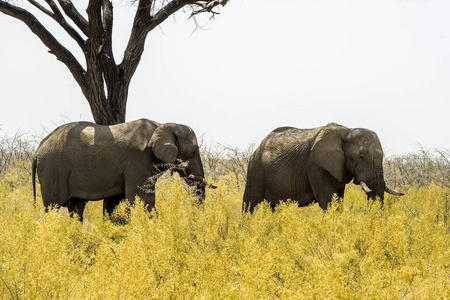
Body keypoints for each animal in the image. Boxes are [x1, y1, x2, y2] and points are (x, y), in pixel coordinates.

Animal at [32, 118, 216, 221]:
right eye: (193, 152)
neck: (161, 125)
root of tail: (38, 149)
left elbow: (116, 202)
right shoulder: (138, 161)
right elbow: (143, 199)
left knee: (76, 208)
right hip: (53, 170)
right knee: (52, 207)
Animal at [243, 121, 404, 211]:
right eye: (361, 157)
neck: (347, 130)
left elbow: (338, 200)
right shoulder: (315, 165)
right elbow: (328, 200)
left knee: (276, 207)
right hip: (256, 169)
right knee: (249, 204)